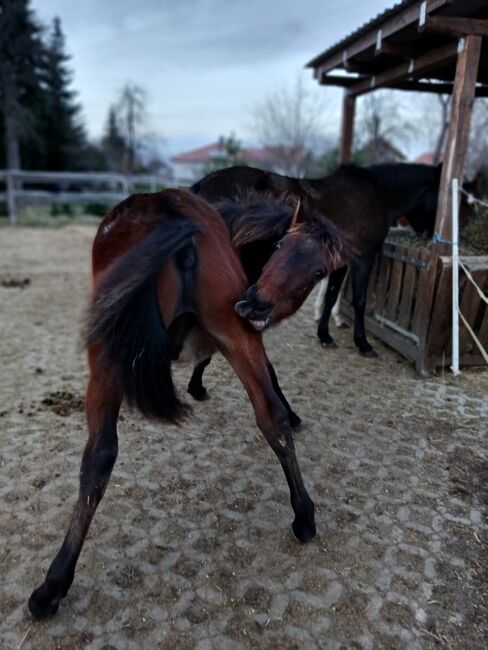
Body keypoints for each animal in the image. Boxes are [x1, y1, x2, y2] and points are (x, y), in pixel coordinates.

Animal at [27, 187, 346, 616]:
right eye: (280, 245)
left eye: (317, 273)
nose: (257, 305)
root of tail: (171, 212)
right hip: (236, 332)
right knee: (271, 418)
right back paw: (305, 516)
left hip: (110, 353)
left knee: (99, 455)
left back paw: (53, 585)